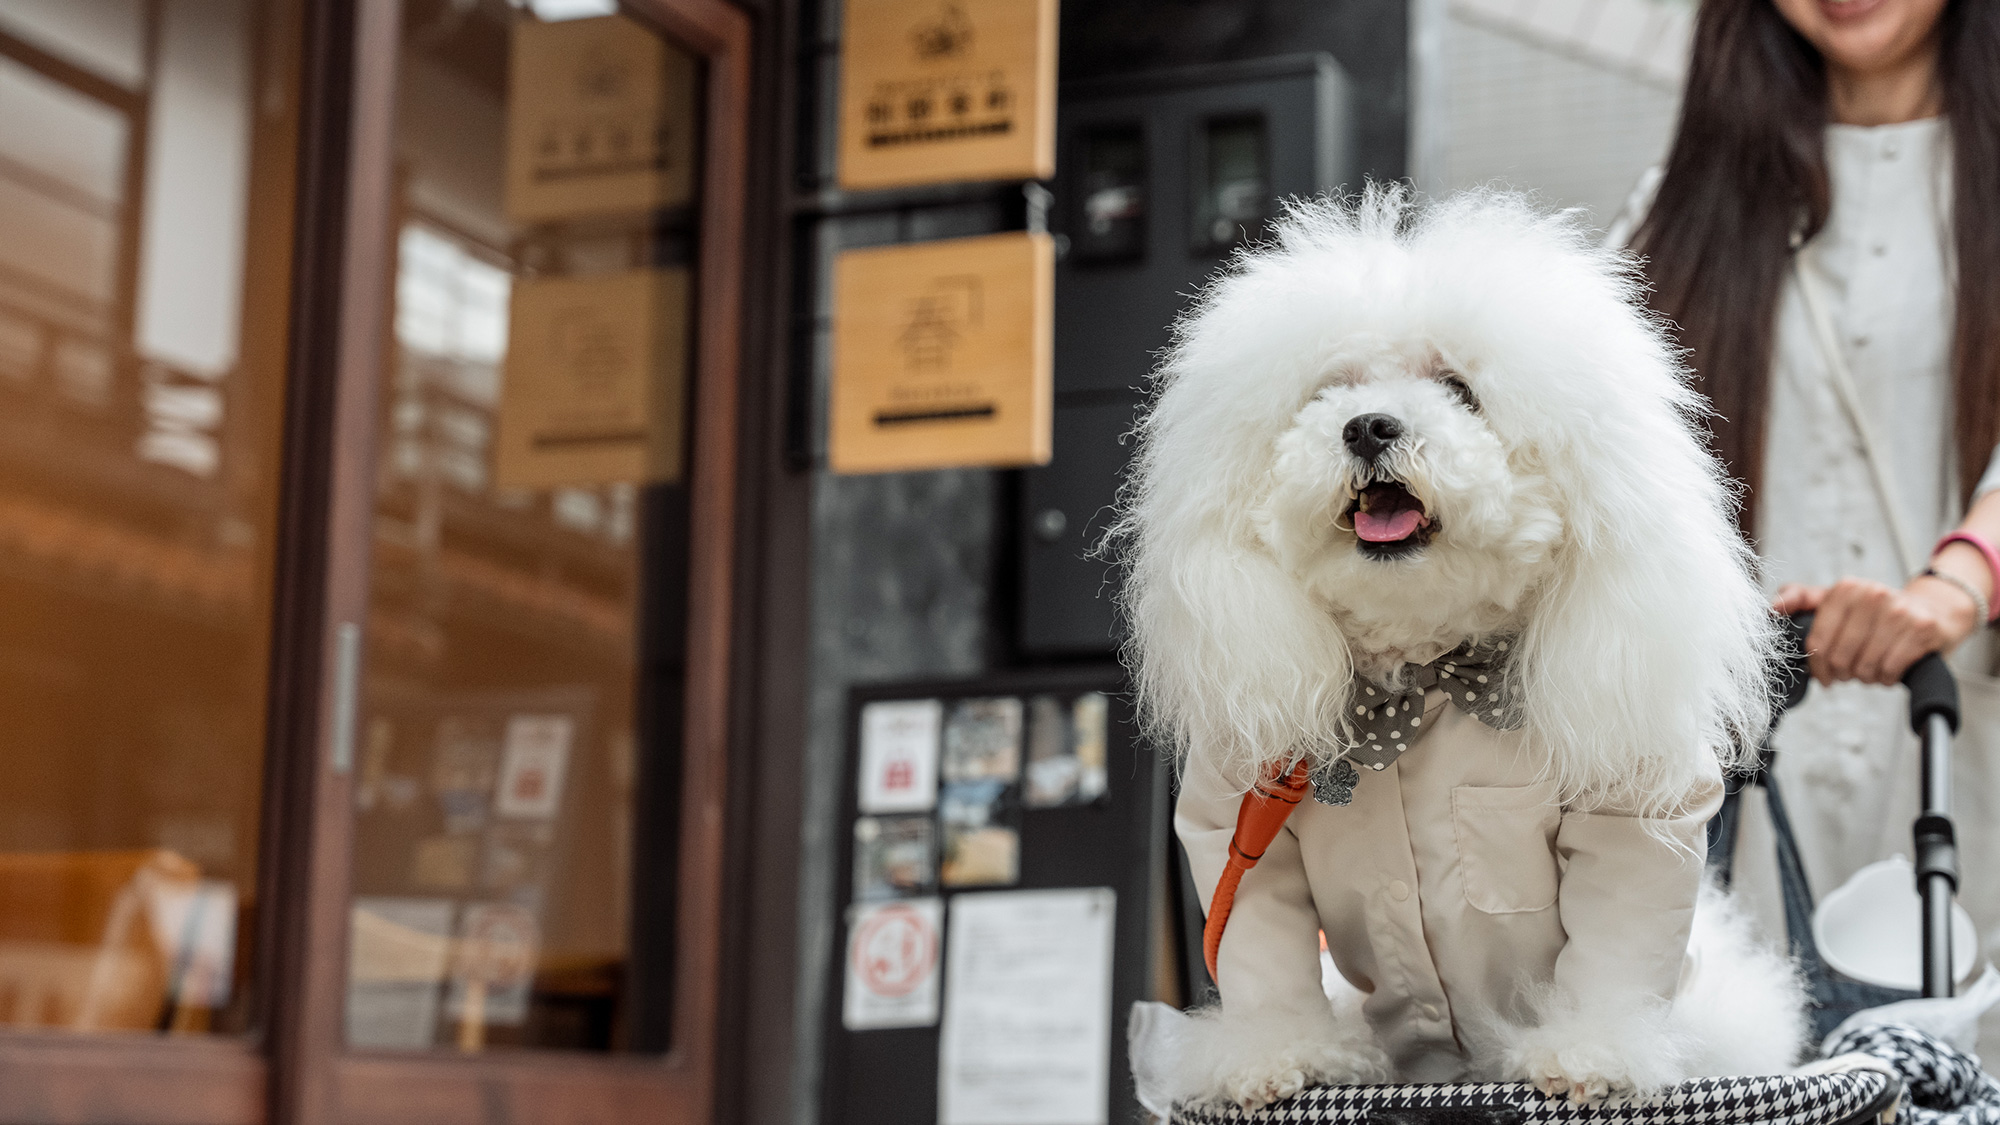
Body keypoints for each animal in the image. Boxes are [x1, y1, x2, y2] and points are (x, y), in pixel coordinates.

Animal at [1120, 188, 1808, 1104]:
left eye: (1459, 389)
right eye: (1331, 391)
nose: (1368, 426)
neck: (1423, 676)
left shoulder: (1636, 813)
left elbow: (1617, 942)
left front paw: (1586, 1055)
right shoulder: (1235, 818)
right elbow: (1260, 950)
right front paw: (1275, 1057)